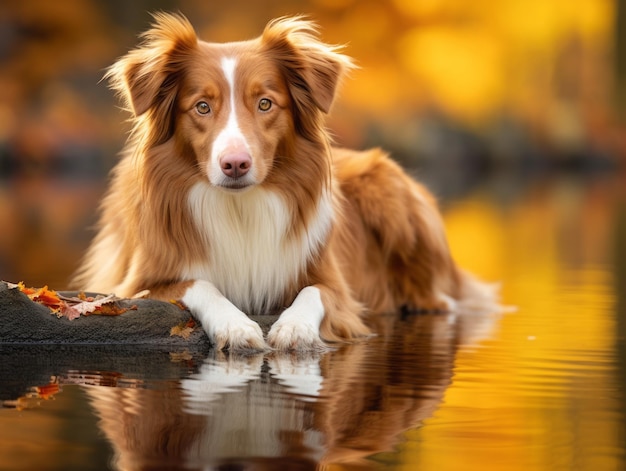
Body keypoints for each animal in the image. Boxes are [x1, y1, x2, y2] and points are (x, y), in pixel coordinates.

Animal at [73, 12, 490, 350]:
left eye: (265, 103)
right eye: (202, 107)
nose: (235, 164)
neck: (240, 208)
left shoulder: (336, 285)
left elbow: (314, 291)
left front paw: (294, 328)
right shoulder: (137, 284)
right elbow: (200, 284)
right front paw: (236, 326)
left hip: (389, 188)